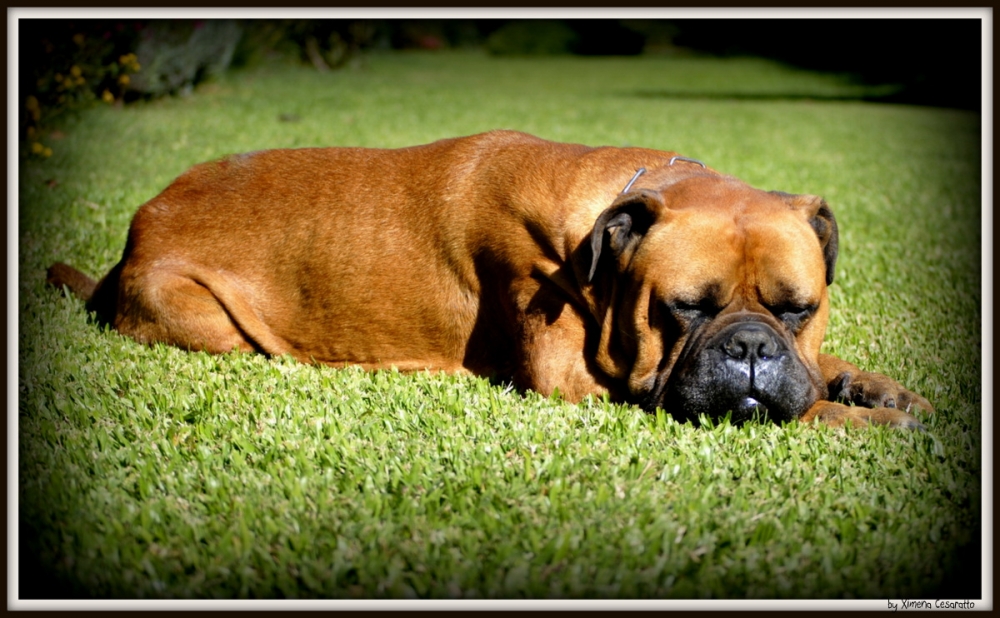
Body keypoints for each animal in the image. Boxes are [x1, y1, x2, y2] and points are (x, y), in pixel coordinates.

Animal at [50, 130, 932, 426]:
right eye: (683, 309)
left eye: (799, 310)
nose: (751, 348)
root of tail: (142, 222)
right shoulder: (582, 384)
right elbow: (799, 414)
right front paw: (862, 423)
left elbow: (822, 377)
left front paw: (875, 389)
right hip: (203, 318)